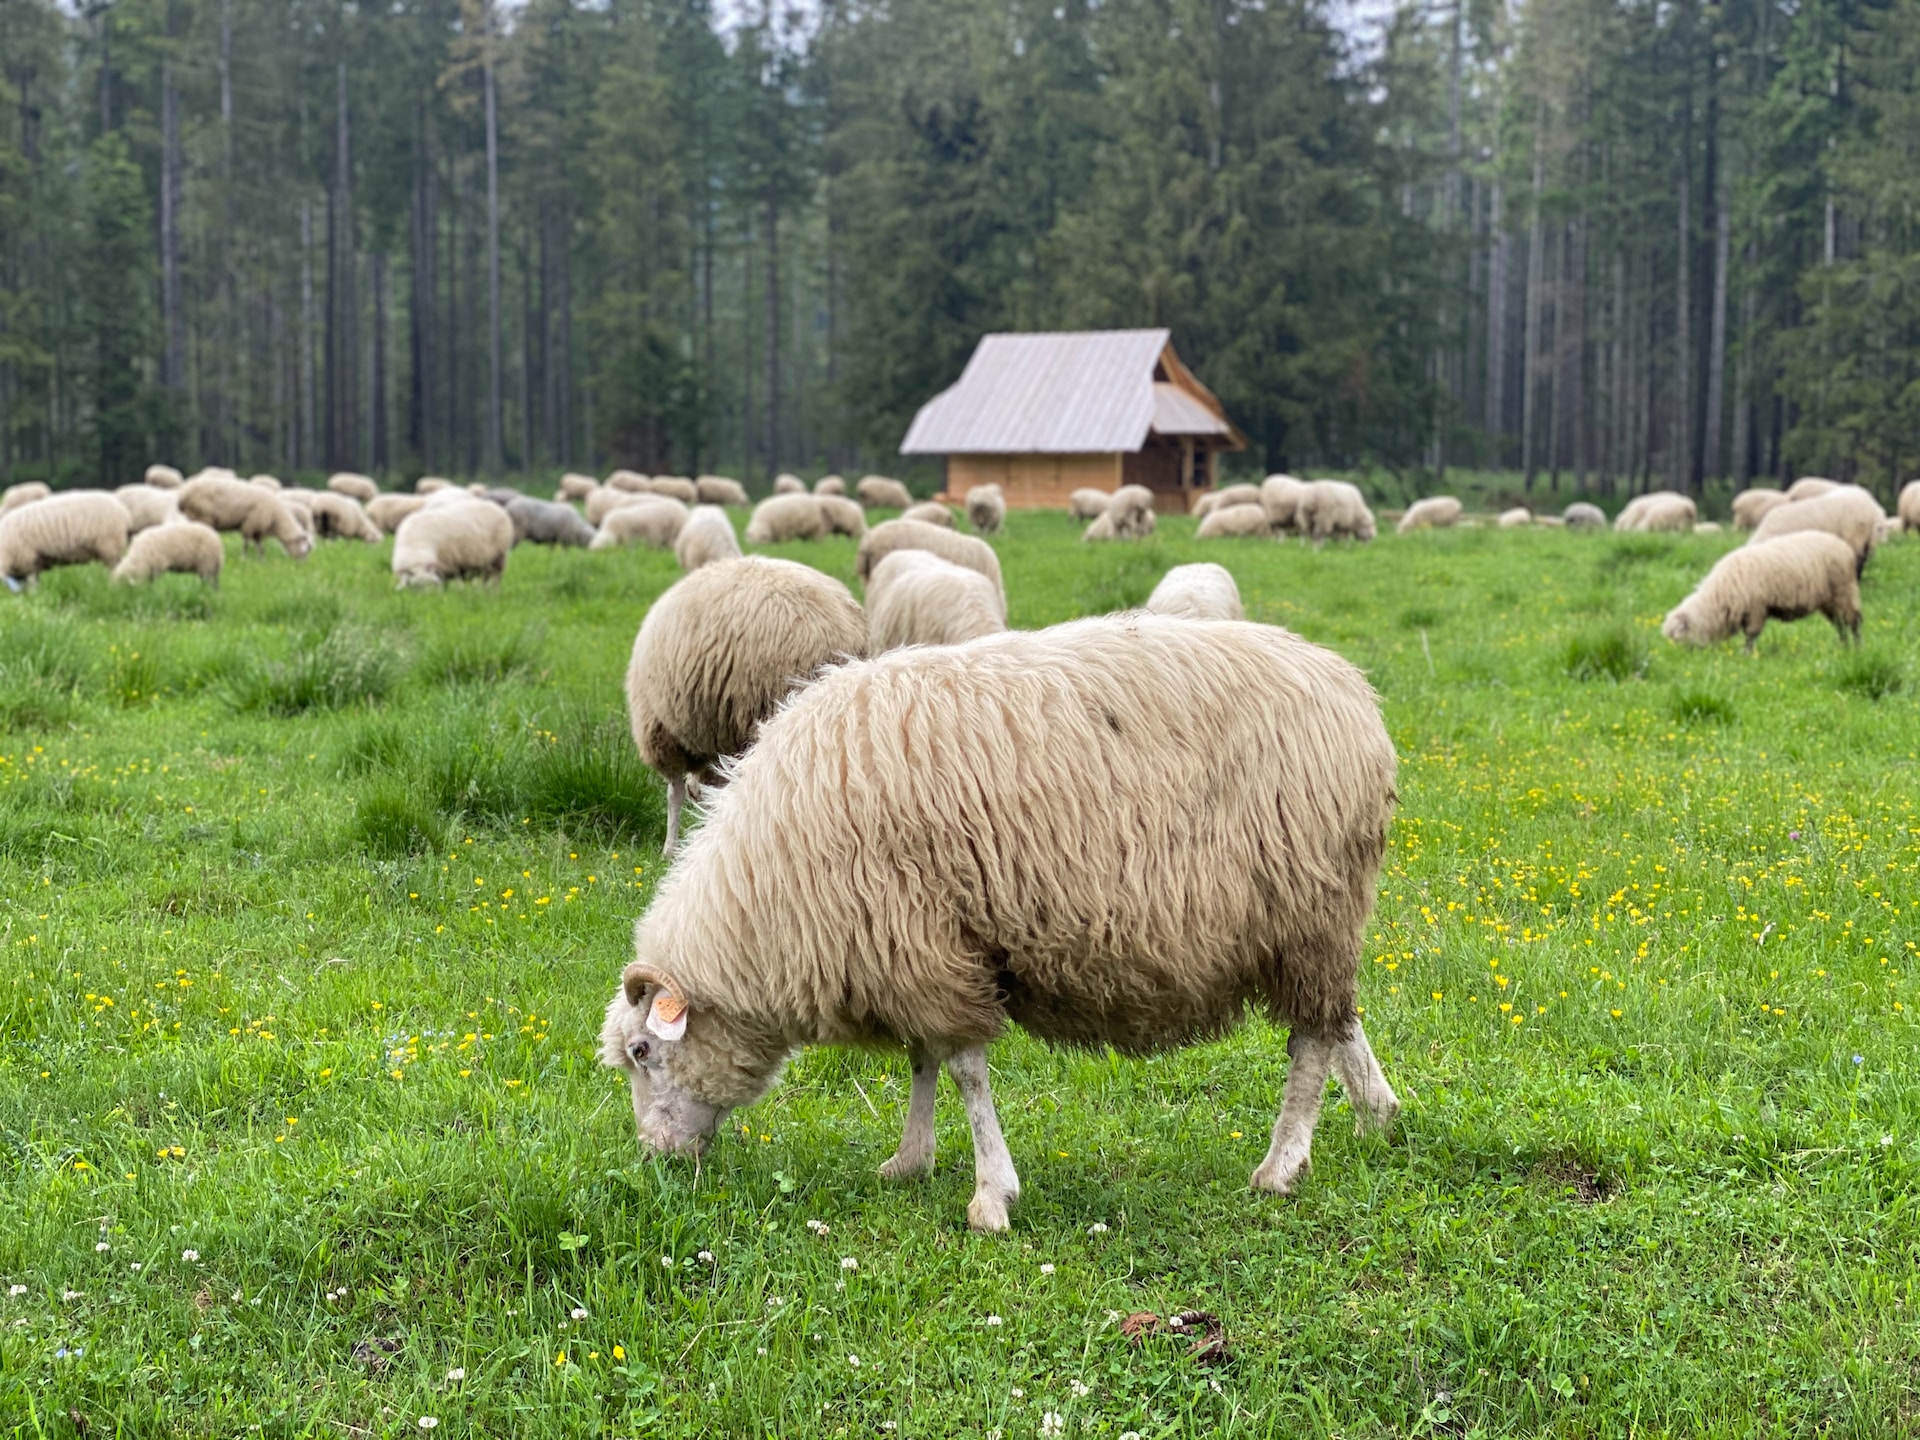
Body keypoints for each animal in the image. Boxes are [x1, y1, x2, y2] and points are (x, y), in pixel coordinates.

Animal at [0, 491, 130, 589]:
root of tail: (122, 510)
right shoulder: (33, 561)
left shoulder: (28, 558)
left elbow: (32, 582)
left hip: (109, 546)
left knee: (115, 568)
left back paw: (112, 586)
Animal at [177, 476, 312, 559]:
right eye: (304, 548)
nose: (303, 564)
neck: (276, 518)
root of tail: (184, 493)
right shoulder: (250, 523)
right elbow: (246, 543)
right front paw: (244, 558)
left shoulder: (258, 529)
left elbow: (260, 546)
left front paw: (262, 560)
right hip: (202, 514)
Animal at [600, 614, 1401, 1231]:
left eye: (642, 1051)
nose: (656, 1159)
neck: (765, 898)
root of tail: (1353, 693)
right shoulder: (910, 950)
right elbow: (922, 1061)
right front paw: (909, 1161)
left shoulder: (925, 946)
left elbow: (963, 1072)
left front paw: (990, 1196)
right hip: (1312, 921)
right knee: (1339, 1018)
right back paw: (1378, 1113)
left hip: (1305, 906)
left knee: (1309, 1042)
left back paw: (1282, 1164)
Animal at [1662, 532, 1860, 653]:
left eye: (1679, 639)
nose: (1684, 658)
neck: (1720, 596)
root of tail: (1844, 546)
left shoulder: (1756, 608)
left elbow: (1751, 635)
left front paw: (1746, 654)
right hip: (1830, 600)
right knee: (1840, 624)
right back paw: (1844, 647)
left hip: (1844, 591)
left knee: (1854, 620)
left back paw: (1858, 648)